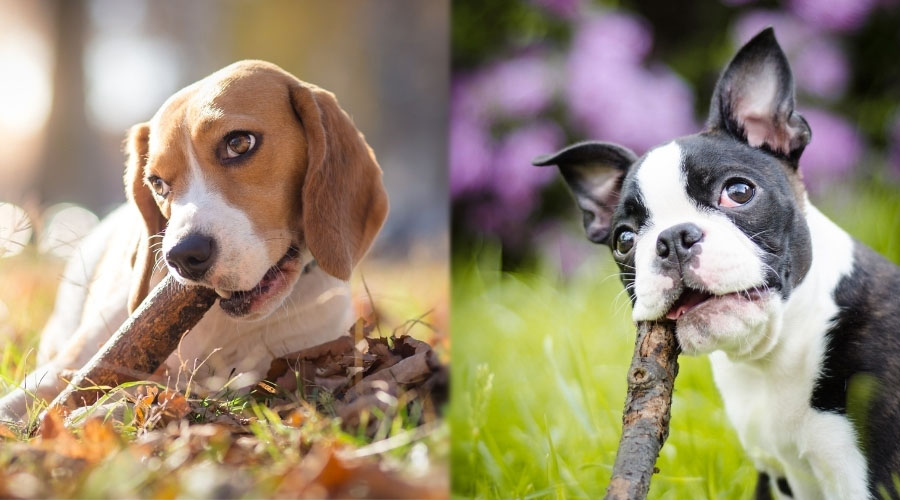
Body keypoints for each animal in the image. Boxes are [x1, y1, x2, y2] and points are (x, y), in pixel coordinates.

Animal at [536, 29, 900, 498]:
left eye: (739, 192)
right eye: (624, 240)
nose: (673, 239)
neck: (772, 357)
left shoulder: (870, 477)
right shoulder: (777, 476)